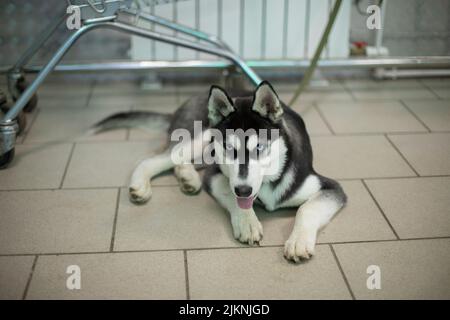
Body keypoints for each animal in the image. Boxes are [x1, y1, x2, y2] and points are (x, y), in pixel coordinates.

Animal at [94, 80, 348, 262]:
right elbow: (230, 193)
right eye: (230, 149)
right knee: (156, 158)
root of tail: (189, 100)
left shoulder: (329, 187)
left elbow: (308, 208)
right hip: (201, 137)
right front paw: (247, 222)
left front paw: (298, 242)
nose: (244, 190)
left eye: (259, 148)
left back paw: (188, 178)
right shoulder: (216, 176)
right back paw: (141, 184)